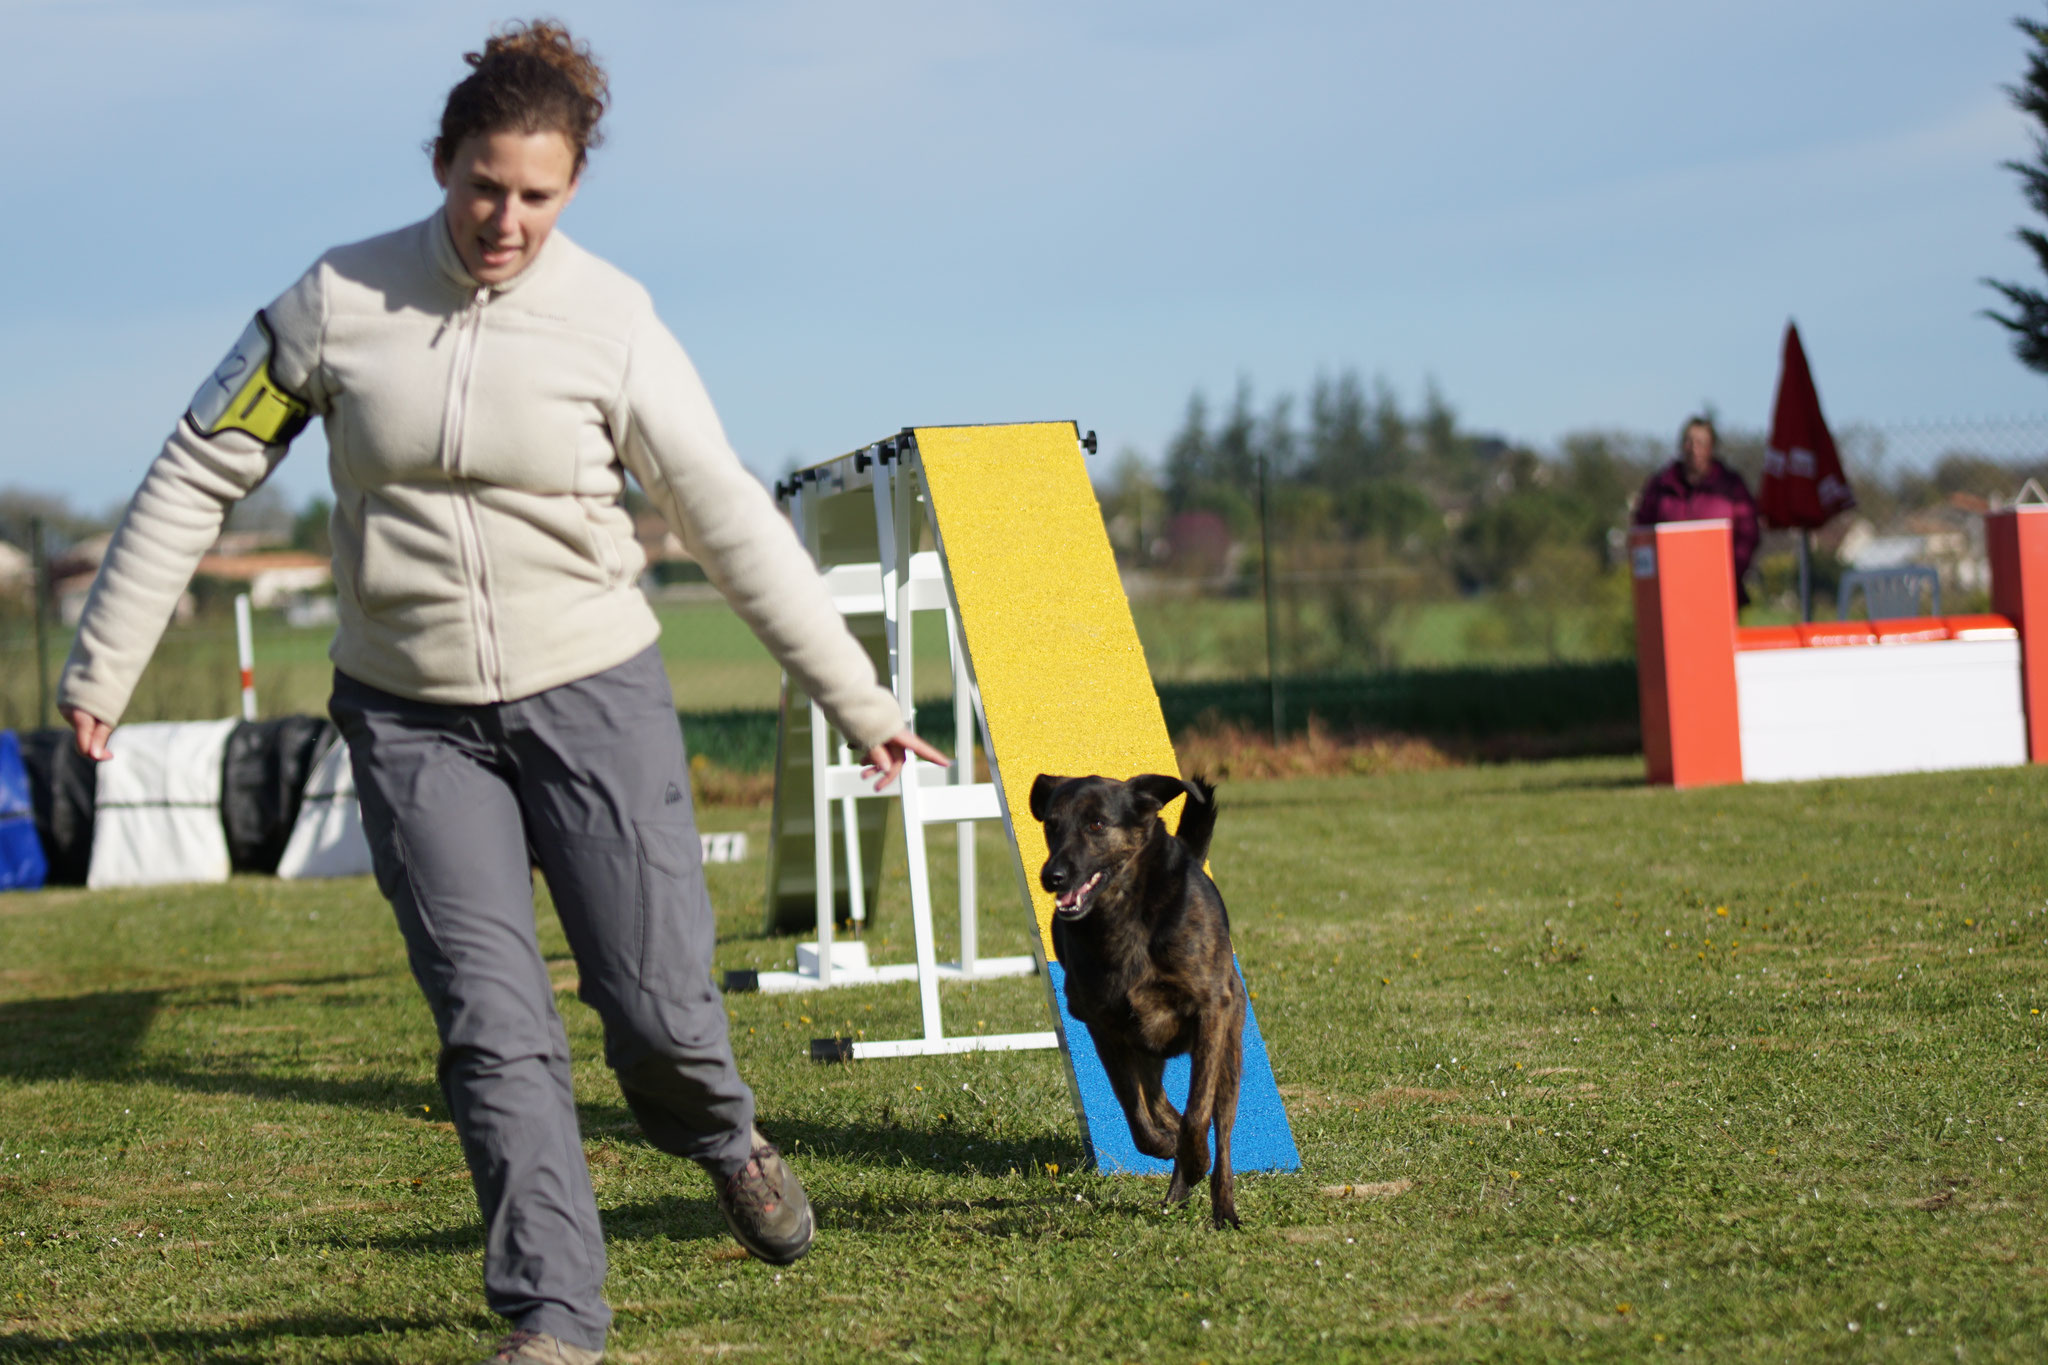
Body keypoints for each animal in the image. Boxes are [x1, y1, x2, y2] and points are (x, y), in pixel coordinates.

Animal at [1032, 773, 1236, 1236]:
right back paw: (1177, 1179)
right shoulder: (1103, 1027)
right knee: (1160, 1105)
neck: (1124, 915)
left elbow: (1198, 1113)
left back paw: (1222, 1206)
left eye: (1096, 824)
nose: (1053, 877)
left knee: (1220, 1130)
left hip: (1228, 1052)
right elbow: (1135, 1113)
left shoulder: (1211, 1013)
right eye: (1051, 824)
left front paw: (1194, 1159)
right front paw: (1167, 1146)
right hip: (1146, 1053)